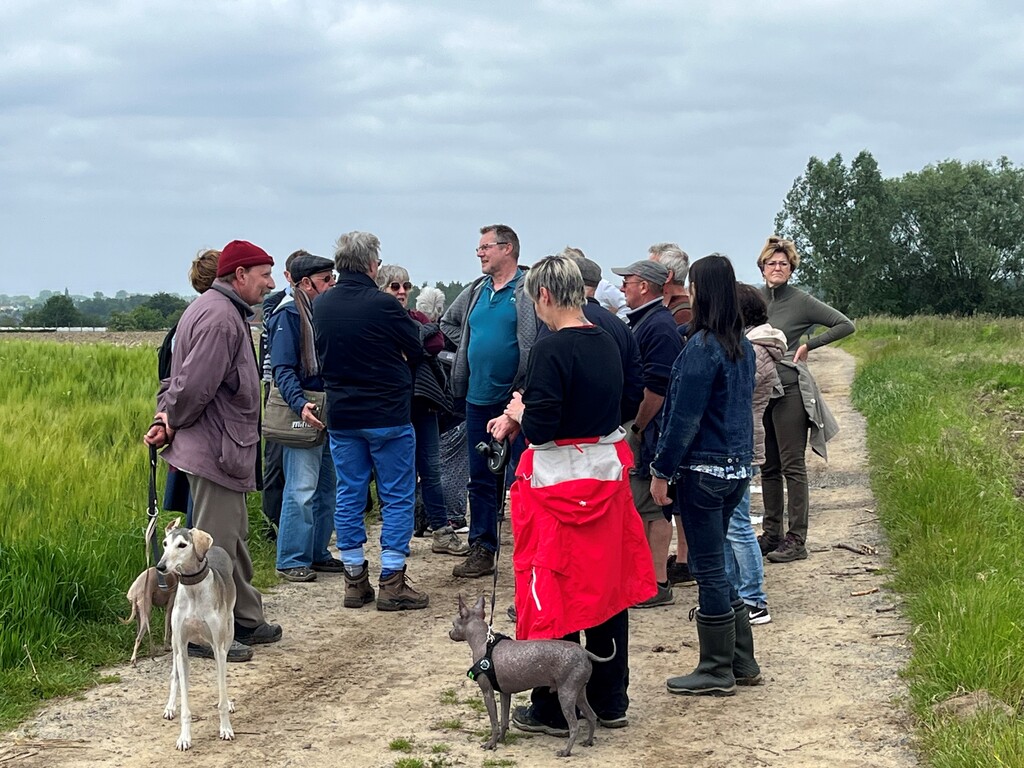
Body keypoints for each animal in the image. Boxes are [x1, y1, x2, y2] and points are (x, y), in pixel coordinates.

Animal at [450, 593, 614, 757]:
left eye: (453, 624)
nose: (449, 633)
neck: (484, 642)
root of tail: (585, 652)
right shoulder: (505, 693)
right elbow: (504, 721)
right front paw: (502, 739)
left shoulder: (487, 692)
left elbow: (495, 723)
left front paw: (491, 743)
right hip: (578, 693)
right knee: (592, 716)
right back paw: (588, 741)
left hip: (566, 695)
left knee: (574, 727)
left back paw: (566, 751)